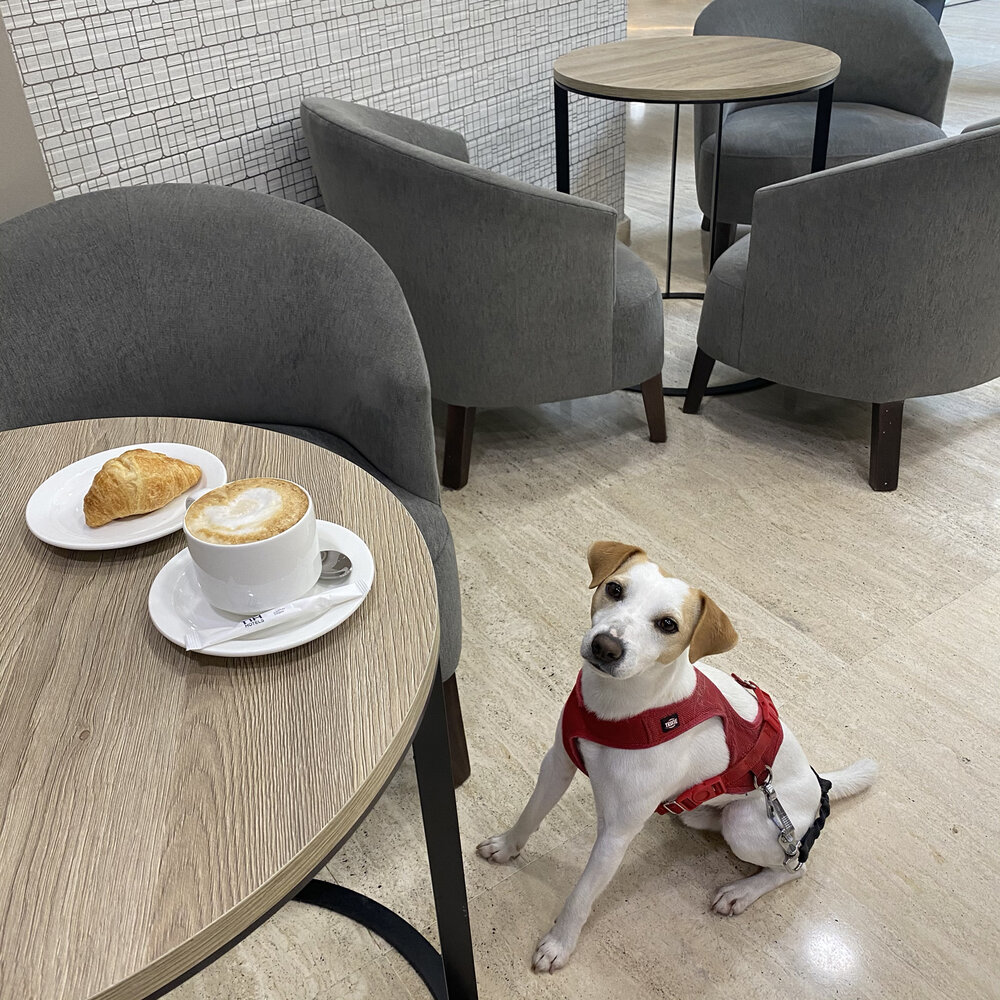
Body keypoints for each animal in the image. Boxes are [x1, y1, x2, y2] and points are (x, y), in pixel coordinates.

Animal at [480, 544, 880, 972]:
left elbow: (581, 895)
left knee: (793, 867)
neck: (621, 710)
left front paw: (559, 943)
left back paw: (742, 891)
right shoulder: (557, 763)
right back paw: (699, 815)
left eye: (668, 624)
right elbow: (531, 814)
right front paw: (506, 846)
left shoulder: (616, 833)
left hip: (748, 827)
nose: (606, 646)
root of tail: (817, 781)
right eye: (615, 589)